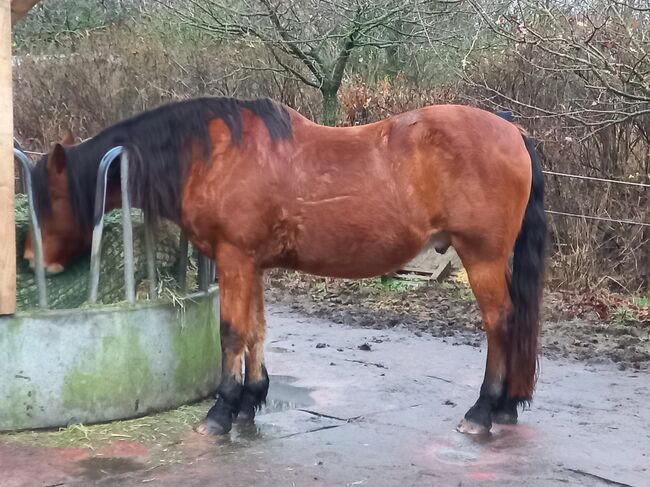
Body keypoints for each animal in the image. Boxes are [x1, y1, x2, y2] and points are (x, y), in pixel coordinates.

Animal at [24, 97, 540, 436]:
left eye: (48, 200)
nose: (31, 261)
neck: (213, 156)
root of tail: (512, 131)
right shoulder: (250, 263)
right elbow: (256, 329)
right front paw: (250, 401)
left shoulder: (234, 258)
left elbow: (232, 332)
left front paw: (220, 414)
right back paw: (506, 407)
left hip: (481, 258)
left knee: (500, 322)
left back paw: (482, 411)